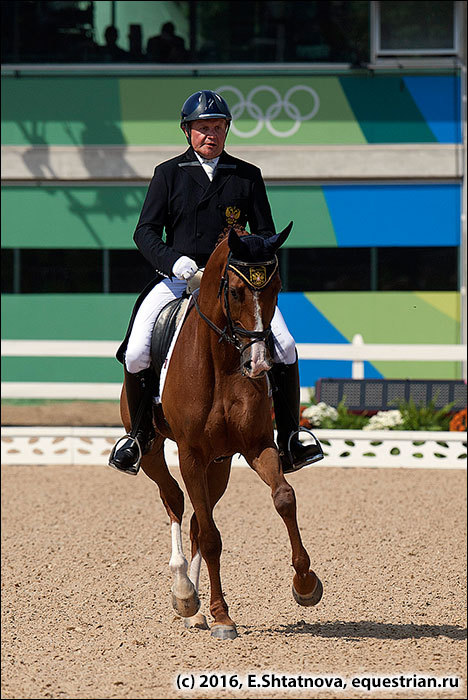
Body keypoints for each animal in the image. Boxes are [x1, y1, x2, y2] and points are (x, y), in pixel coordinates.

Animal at [118, 226, 322, 640]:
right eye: (236, 292)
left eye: (277, 286)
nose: (259, 364)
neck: (224, 363)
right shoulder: (190, 455)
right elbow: (212, 538)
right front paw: (222, 616)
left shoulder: (257, 447)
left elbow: (284, 498)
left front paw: (305, 584)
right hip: (154, 451)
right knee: (176, 502)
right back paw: (184, 594)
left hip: (221, 464)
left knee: (199, 518)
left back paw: (195, 611)